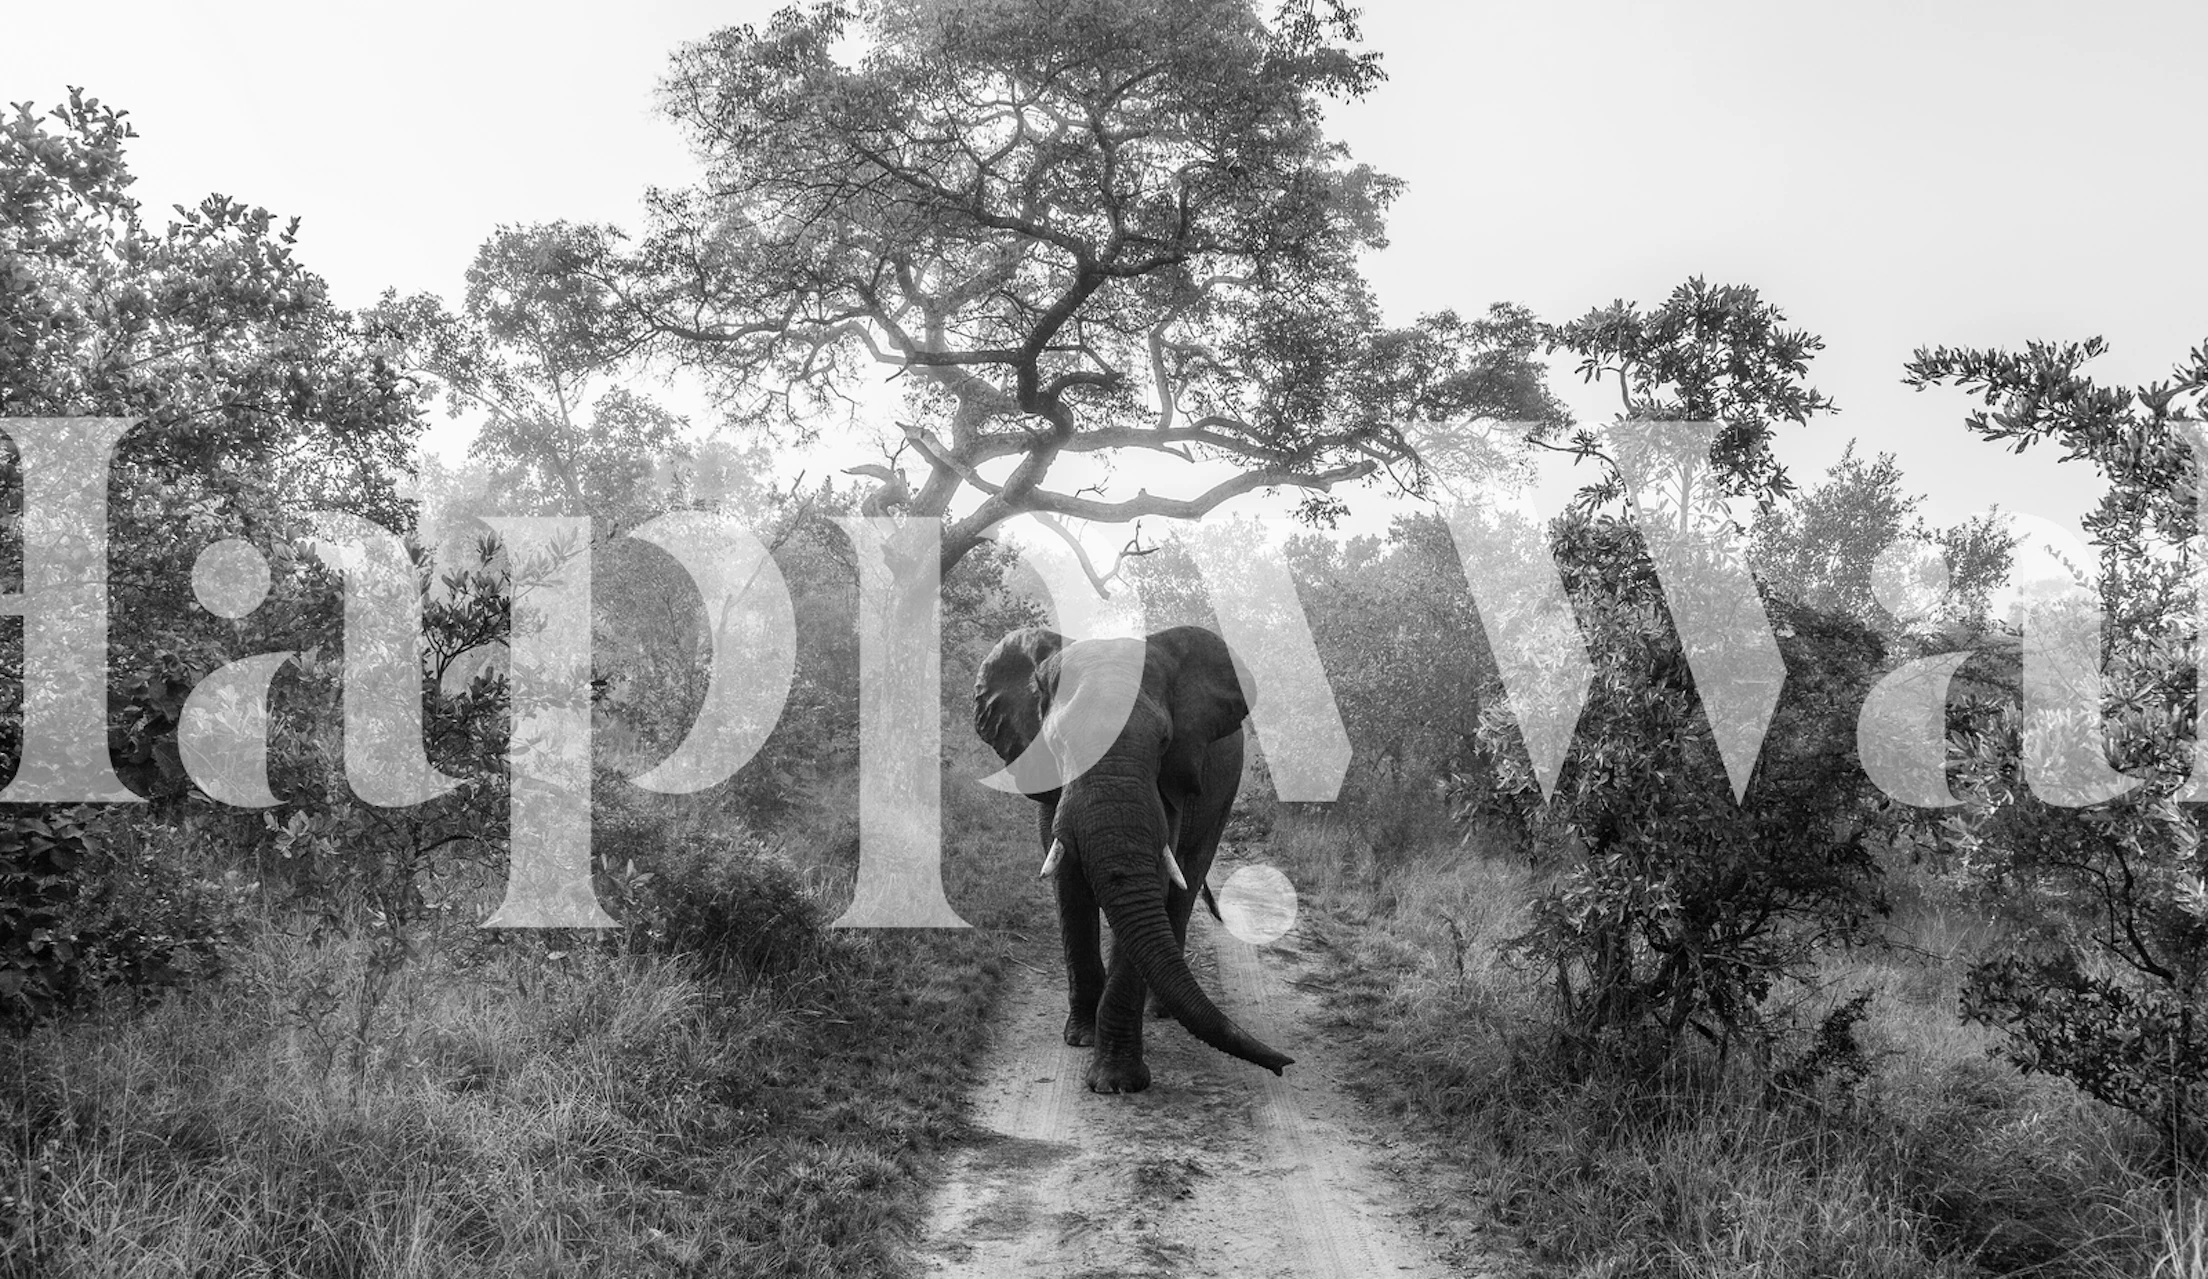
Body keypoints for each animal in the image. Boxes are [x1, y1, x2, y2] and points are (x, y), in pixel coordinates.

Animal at [973, 624, 1293, 1093]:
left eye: (1163, 741)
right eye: (1057, 743)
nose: (1285, 1065)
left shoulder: (1169, 785)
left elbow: (1156, 881)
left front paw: (1117, 1082)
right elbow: (1068, 885)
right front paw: (1080, 1038)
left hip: (1222, 796)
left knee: (1186, 882)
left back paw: (1160, 1011)